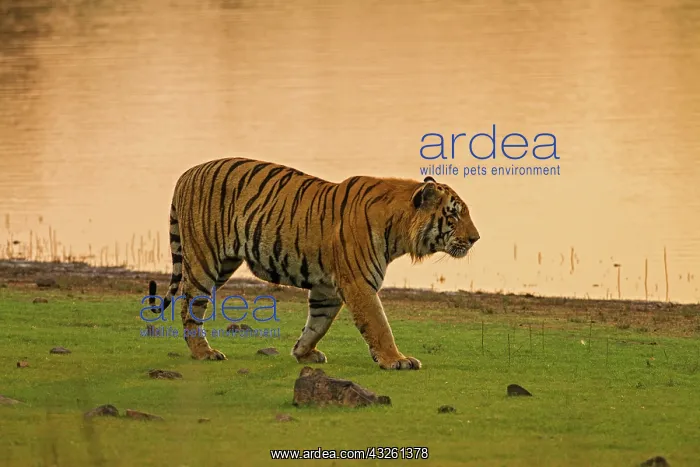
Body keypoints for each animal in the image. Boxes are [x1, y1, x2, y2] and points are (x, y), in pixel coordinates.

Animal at [147, 158, 480, 370]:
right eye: (454, 215)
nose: (476, 238)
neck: (397, 229)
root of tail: (188, 173)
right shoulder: (359, 283)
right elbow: (379, 324)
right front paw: (395, 360)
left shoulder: (327, 289)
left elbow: (317, 324)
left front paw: (303, 353)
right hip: (204, 261)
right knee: (190, 306)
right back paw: (204, 353)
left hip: (224, 263)